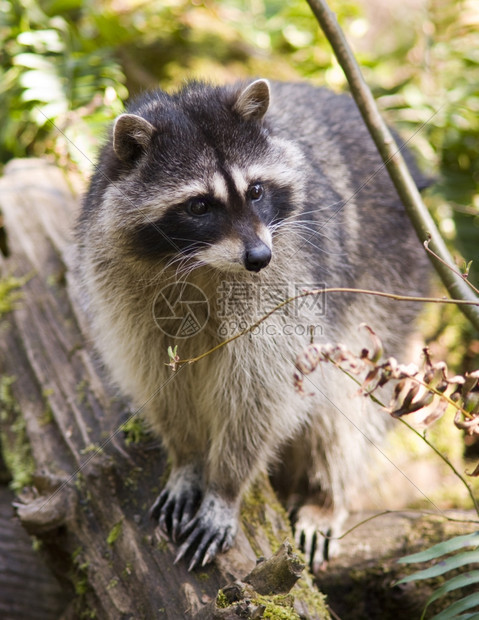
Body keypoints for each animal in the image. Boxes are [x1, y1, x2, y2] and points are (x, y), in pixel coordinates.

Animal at [76, 80, 432, 572]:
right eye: (198, 206)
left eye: (257, 190)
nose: (259, 257)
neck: (200, 264)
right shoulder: (124, 288)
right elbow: (159, 377)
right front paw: (187, 457)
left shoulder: (289, 279)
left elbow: (259, 392)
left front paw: (225, 487)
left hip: (389, 278)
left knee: (343, 404)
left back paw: (324, 495)